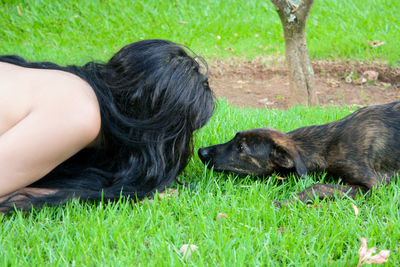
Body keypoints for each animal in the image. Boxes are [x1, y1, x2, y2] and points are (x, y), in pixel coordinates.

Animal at [197, 101, 400, 204]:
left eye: (241, 148)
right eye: (235, 138)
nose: (201, 152)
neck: (325, 144)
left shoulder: (373, 187)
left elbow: (317, 186)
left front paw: (285, 202)